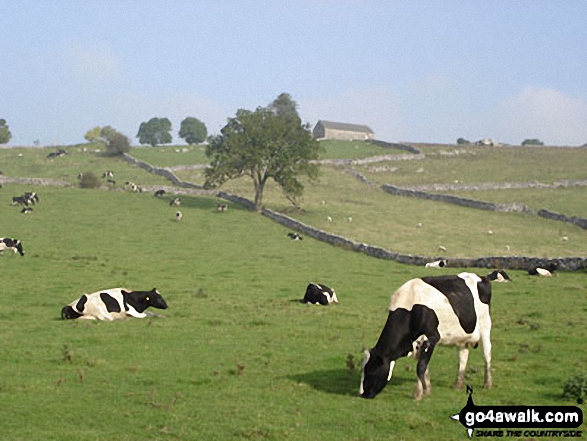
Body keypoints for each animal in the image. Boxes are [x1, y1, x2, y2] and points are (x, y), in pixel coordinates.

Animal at [360, 272, 494, 398]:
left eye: (371, 371)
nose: (362, 394)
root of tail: (481, 277)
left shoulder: (432, 337)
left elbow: (420, 367)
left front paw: (418, 393)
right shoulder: (418, 342)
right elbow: (425, 367)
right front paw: (427, 389)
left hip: (485, 327)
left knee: (486, 354)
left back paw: (487, 383)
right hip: (462, 337)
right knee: (463, 356)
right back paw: (458, 384)